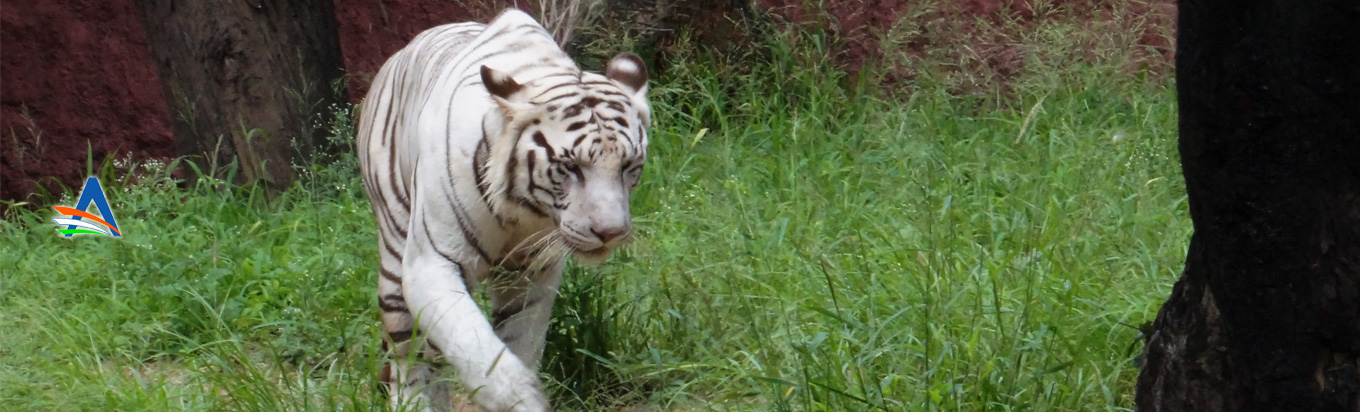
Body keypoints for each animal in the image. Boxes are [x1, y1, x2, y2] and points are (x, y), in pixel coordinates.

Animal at [356, 7, 652, 412]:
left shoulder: (532, 275)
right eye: (570, 167)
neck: (524, 212)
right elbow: (478, 350)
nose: (611, 233)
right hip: (394, 255)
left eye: (628, 166)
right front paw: (522, 398)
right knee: (410, 356)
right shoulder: (431, 264)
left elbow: (517, 343)